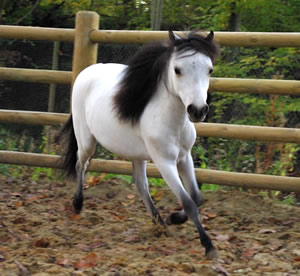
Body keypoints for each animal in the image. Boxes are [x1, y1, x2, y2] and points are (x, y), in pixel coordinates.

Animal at [59, 30, 220, 258]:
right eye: (177, 70)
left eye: (209, 69)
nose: (197, 110)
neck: (173, 121)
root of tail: (85, 73)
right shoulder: (165, 162)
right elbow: (189, 202)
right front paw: (209, 246)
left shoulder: (184, 157)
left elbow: (197, 197)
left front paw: (174, 218)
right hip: (86, 142)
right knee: (81, 165)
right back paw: (77, 204)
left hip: (137, 155)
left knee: (140, 185)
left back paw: (160, 223)